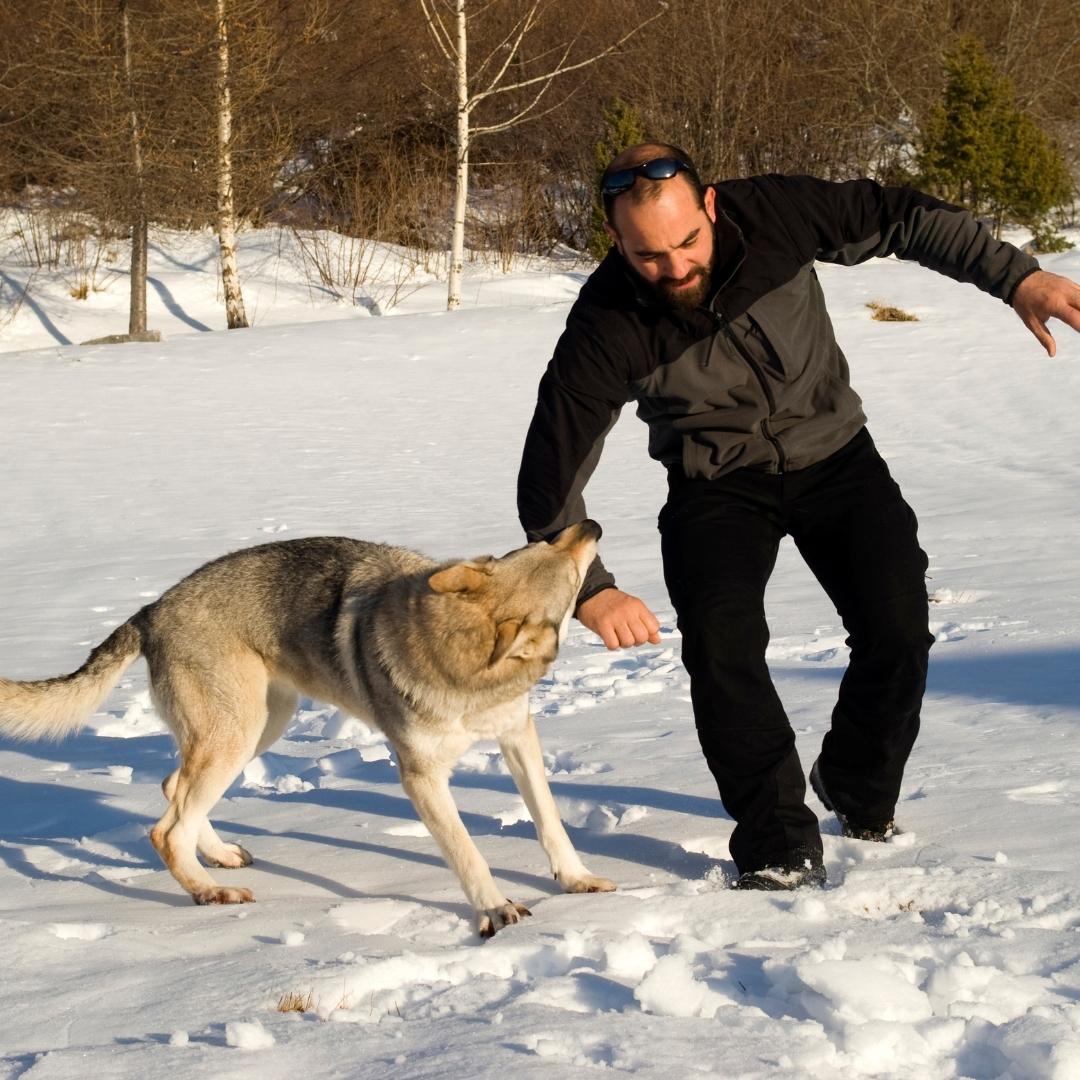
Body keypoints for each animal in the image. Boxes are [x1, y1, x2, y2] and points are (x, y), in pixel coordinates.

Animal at [0, 522, 617, 937]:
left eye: (542, 548)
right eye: (560, 563)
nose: (588, 523)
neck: (460, 662)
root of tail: (152, 609)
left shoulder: (518, 738)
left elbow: (550, 822)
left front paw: (577, 880)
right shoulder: (420, 777)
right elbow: (469, 854)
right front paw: (495, 909)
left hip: (259, 728)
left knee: (173, 790)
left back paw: (218, 858)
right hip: (237, 735)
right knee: (165, 830)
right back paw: (211, 891)